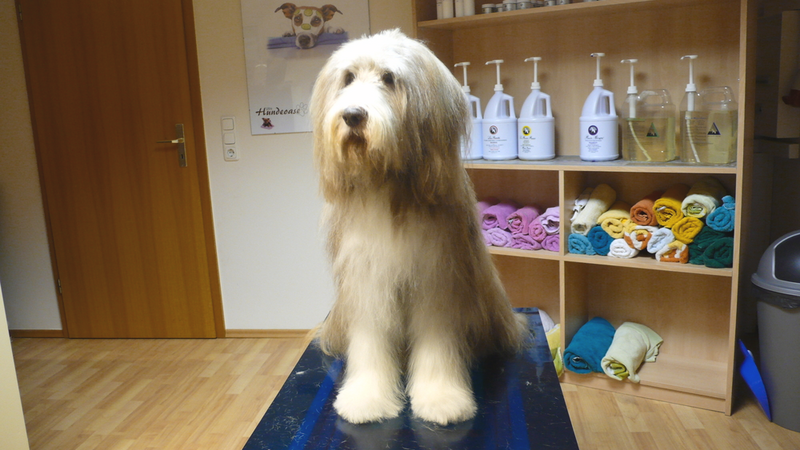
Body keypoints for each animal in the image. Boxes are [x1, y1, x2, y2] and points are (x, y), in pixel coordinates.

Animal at [310, 29, 528, 426]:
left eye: (389, 78)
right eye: (348, 78)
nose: (352, 115)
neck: (385, 185)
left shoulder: (436, 277)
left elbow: (437, 343)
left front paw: (441, 399)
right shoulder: (367, 281)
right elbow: (369, 342)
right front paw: (367, 399)